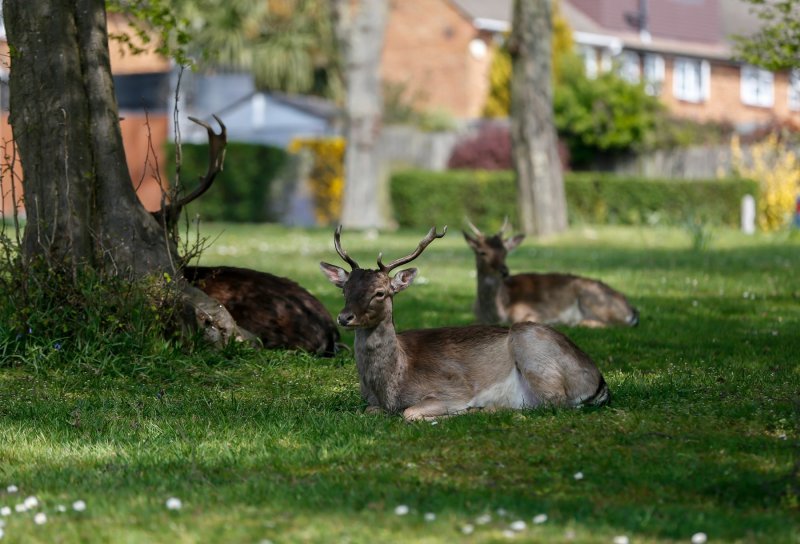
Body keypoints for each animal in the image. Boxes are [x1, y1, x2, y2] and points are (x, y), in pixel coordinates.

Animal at [318, 225, 608, 420]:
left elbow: (409, 412)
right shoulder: (370, 403)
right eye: (345, 290)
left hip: (534, 351)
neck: (390, 387)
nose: (344, 317)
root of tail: (599, 380)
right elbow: (368, 410)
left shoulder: (452, 389)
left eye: (380, 292)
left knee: (552, 402)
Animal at [462, 219, 636, 330]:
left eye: (505, 252)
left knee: (611, 324)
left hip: (594, 300)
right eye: (482, 252)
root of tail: (632, 310)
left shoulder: (531, 311)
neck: (496, 313)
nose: (504, 271)